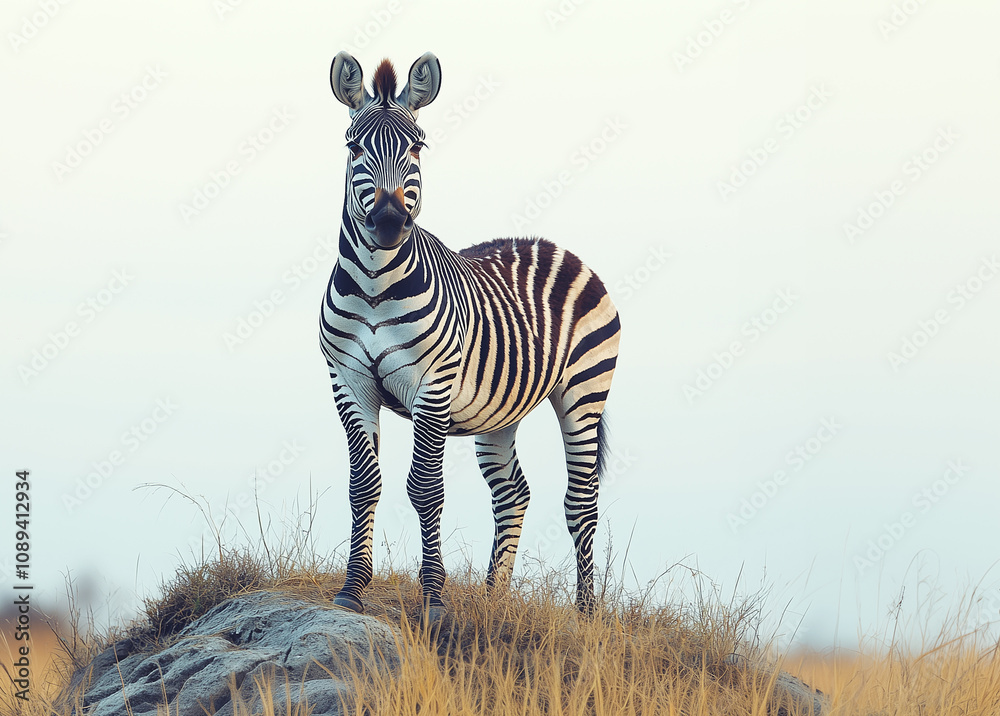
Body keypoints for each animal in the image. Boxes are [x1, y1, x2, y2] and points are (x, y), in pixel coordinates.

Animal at [320, 51, 621, 620]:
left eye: (418, 146)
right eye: (353, 147)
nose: (389, 221)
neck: (374, 283)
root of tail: (550, 244)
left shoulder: (432, 387)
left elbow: (424, 488)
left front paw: (434, 598)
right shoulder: (348, 383)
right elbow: (362, 486)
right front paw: (352, 589)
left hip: (584, 391)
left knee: (582, 502)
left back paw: (586, 613)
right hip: (500, 411)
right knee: (514, 493)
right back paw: (494, 599)